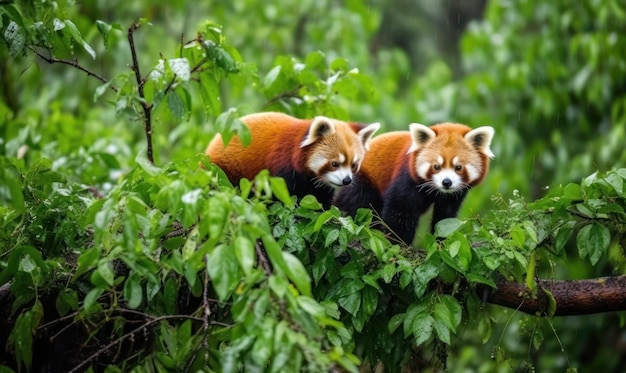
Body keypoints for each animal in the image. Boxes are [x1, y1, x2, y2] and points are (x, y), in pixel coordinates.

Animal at [332, 122, 492, 244]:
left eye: (458, 167)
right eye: (436, 166)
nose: (446, 182)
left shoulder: (454, 195)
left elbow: (445, 216)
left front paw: (442, 242)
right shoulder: (407, 177)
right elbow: (400, 211)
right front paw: (398, 243)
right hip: (363, 180)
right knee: (359, 202)